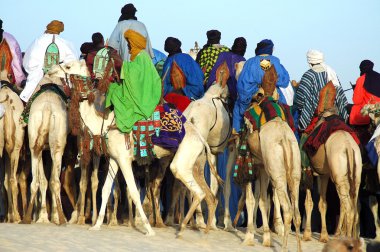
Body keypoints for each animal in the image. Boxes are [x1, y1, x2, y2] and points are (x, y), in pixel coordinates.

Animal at [22, 59, 90, 224]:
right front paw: (53, 216)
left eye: (68, 66)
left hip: (36, 143)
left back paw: (29, 218)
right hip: (57, 146)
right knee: (55, 180)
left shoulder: (43, 148)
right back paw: (62, 218)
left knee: (37, 180)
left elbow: (43, 179)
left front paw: (45, 216)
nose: (51, 70)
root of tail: (47, 108)